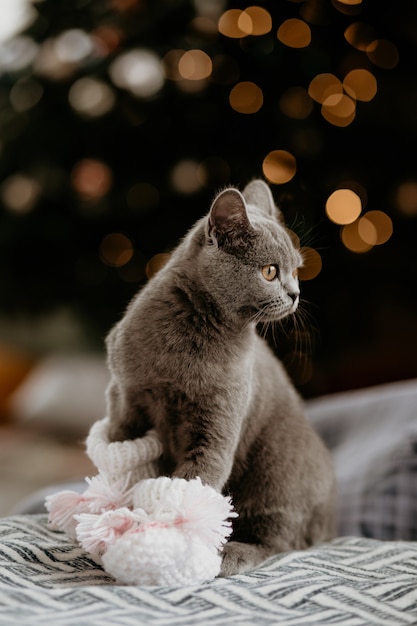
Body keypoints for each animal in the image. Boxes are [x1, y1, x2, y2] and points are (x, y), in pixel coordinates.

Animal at [105, 178, 334, 572]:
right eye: (270, 271)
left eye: (296, 270)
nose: (295, 293)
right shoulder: (124, 393)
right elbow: (120, 446)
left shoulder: (219, 417)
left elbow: (197, 478)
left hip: (277, 470)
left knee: (279, 538)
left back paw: (231, 553)